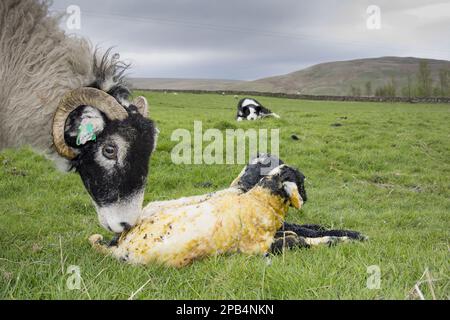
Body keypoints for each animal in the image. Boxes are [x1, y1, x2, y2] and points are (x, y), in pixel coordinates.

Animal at [89, 155, 366, 268]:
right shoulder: (262, 244)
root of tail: (118, 245)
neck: (252, 196)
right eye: (302, 179)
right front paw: (349, 237)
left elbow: (303, 232)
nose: (306, 198)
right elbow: (303, 237)